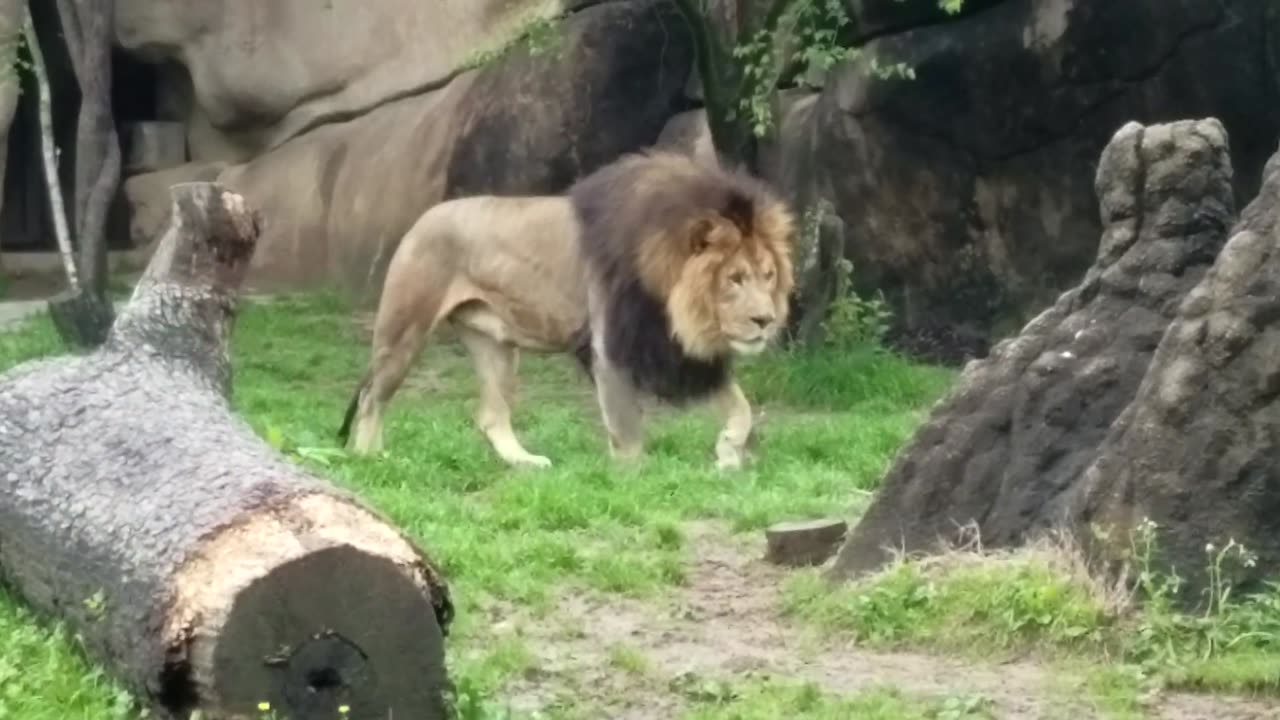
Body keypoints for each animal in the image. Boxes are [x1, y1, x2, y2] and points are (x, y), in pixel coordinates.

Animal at [343, 148, 798, 468]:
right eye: (734, 278)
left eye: (768, 275)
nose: (765, 320)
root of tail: (421, 219)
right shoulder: (610, 346)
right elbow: (627, 432)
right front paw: (634, 481)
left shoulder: (674, 352)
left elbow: (742, 408)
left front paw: (728, 453)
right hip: (405, 329)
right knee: (371, 398)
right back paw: (371, 459)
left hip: (496, 346)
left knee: (491, 415)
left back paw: (526, 464)